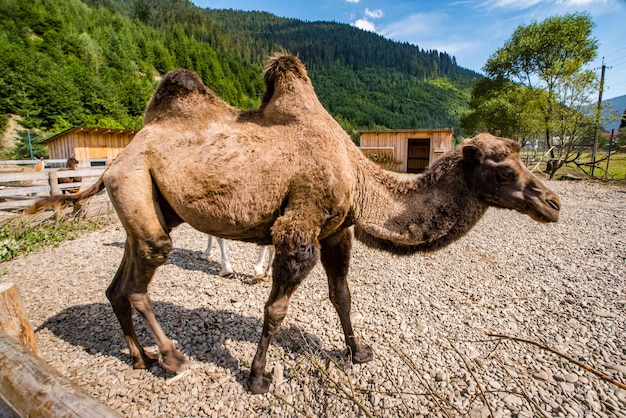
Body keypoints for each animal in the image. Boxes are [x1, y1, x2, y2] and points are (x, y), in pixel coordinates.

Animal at [26, 54, 560, 394]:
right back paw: (173, 359)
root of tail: (115, 160)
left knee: (120, 283)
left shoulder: (337, 230)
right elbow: (276, 308)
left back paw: (139, 357)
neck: (357, 175)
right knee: (143, 276)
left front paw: (358, 351)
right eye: (505, 169)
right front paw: (258, 377)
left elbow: (342, 294)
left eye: (521, 158)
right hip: (138, 188)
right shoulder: (299, 228)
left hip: (144, 204)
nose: (553, 203)